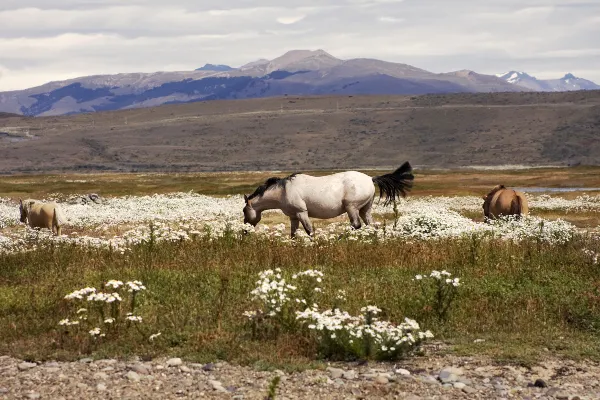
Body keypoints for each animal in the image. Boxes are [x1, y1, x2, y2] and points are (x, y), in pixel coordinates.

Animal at [241, 162, 414, 238]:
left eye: (244, 211)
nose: (245, 231)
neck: (284, 191)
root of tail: (371, 179)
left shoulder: (302, 213)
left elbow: (309, 231)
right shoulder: (293, 217)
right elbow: (293, 234)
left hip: (352, 208)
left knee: (355, 225)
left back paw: (340, 238)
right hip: (365, 210)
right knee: (372, 226)